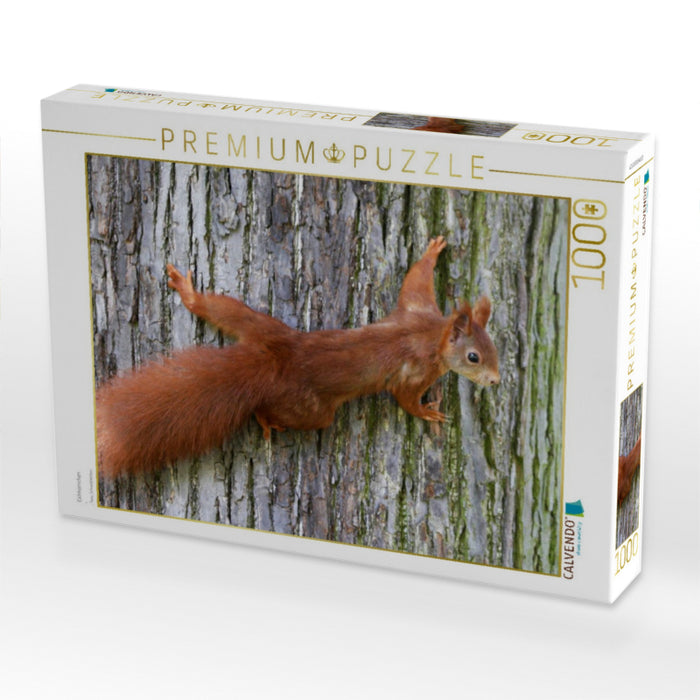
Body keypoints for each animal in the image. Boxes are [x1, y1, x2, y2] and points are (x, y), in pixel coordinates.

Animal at [95, 236, 500, 478]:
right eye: (474, 357)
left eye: (495, 349)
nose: (496, 380)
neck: (432, 335)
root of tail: (276, 362)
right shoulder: (415, 369)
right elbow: (405, 399)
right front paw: (428, 412)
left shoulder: (417, 308)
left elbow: (414, 281)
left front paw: (431, 252)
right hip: (310, 409)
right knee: (285, 413)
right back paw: (265, 420)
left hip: (258, 326)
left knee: (219, 309)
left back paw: (190, 294)